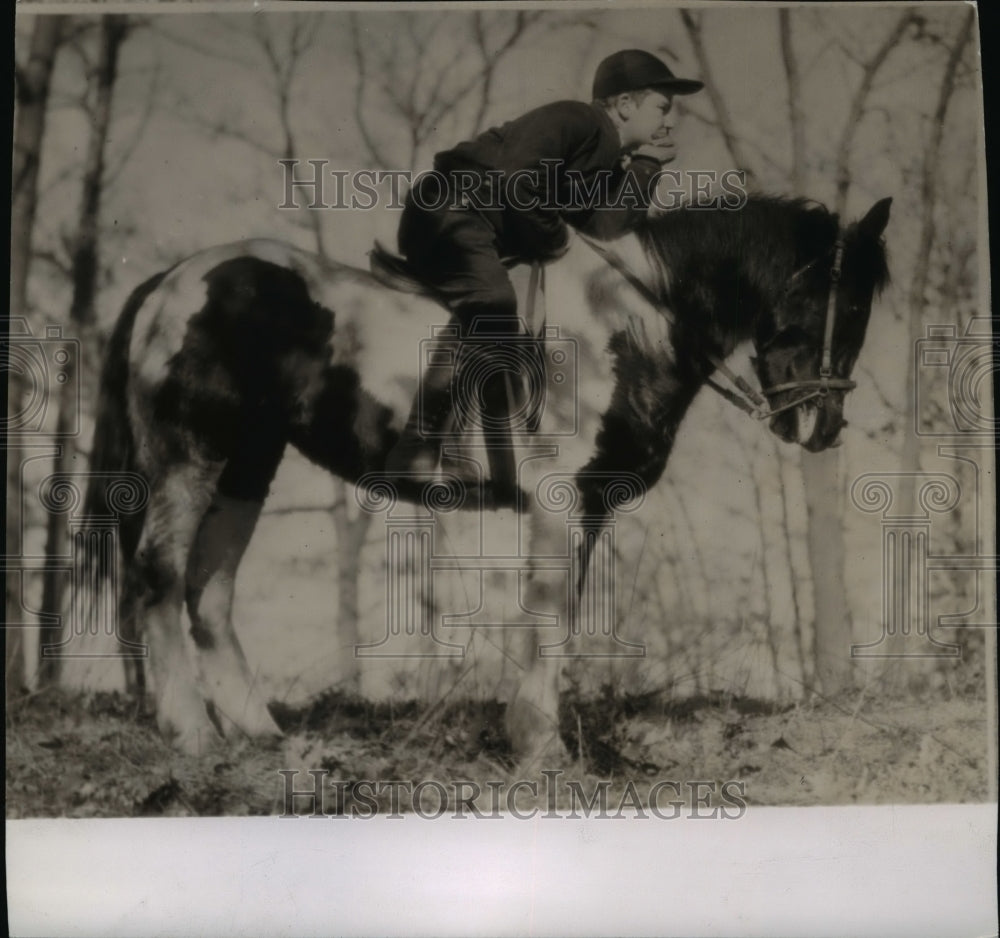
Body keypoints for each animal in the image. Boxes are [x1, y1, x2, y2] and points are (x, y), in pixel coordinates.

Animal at [78, 196, 892, 760]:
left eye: (862, 311)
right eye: (831, 300)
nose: (821, 425)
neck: (622, 324)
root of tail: (171, 281)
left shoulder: (587, 511)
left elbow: (562, 617)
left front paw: (536, 736)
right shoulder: (558, 503)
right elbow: (551, 615)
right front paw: (538, 744)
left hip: (248, 466)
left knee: (209, 591)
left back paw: (259, 732)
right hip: (191, 457)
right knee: (158, 575)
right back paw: (191, 732)